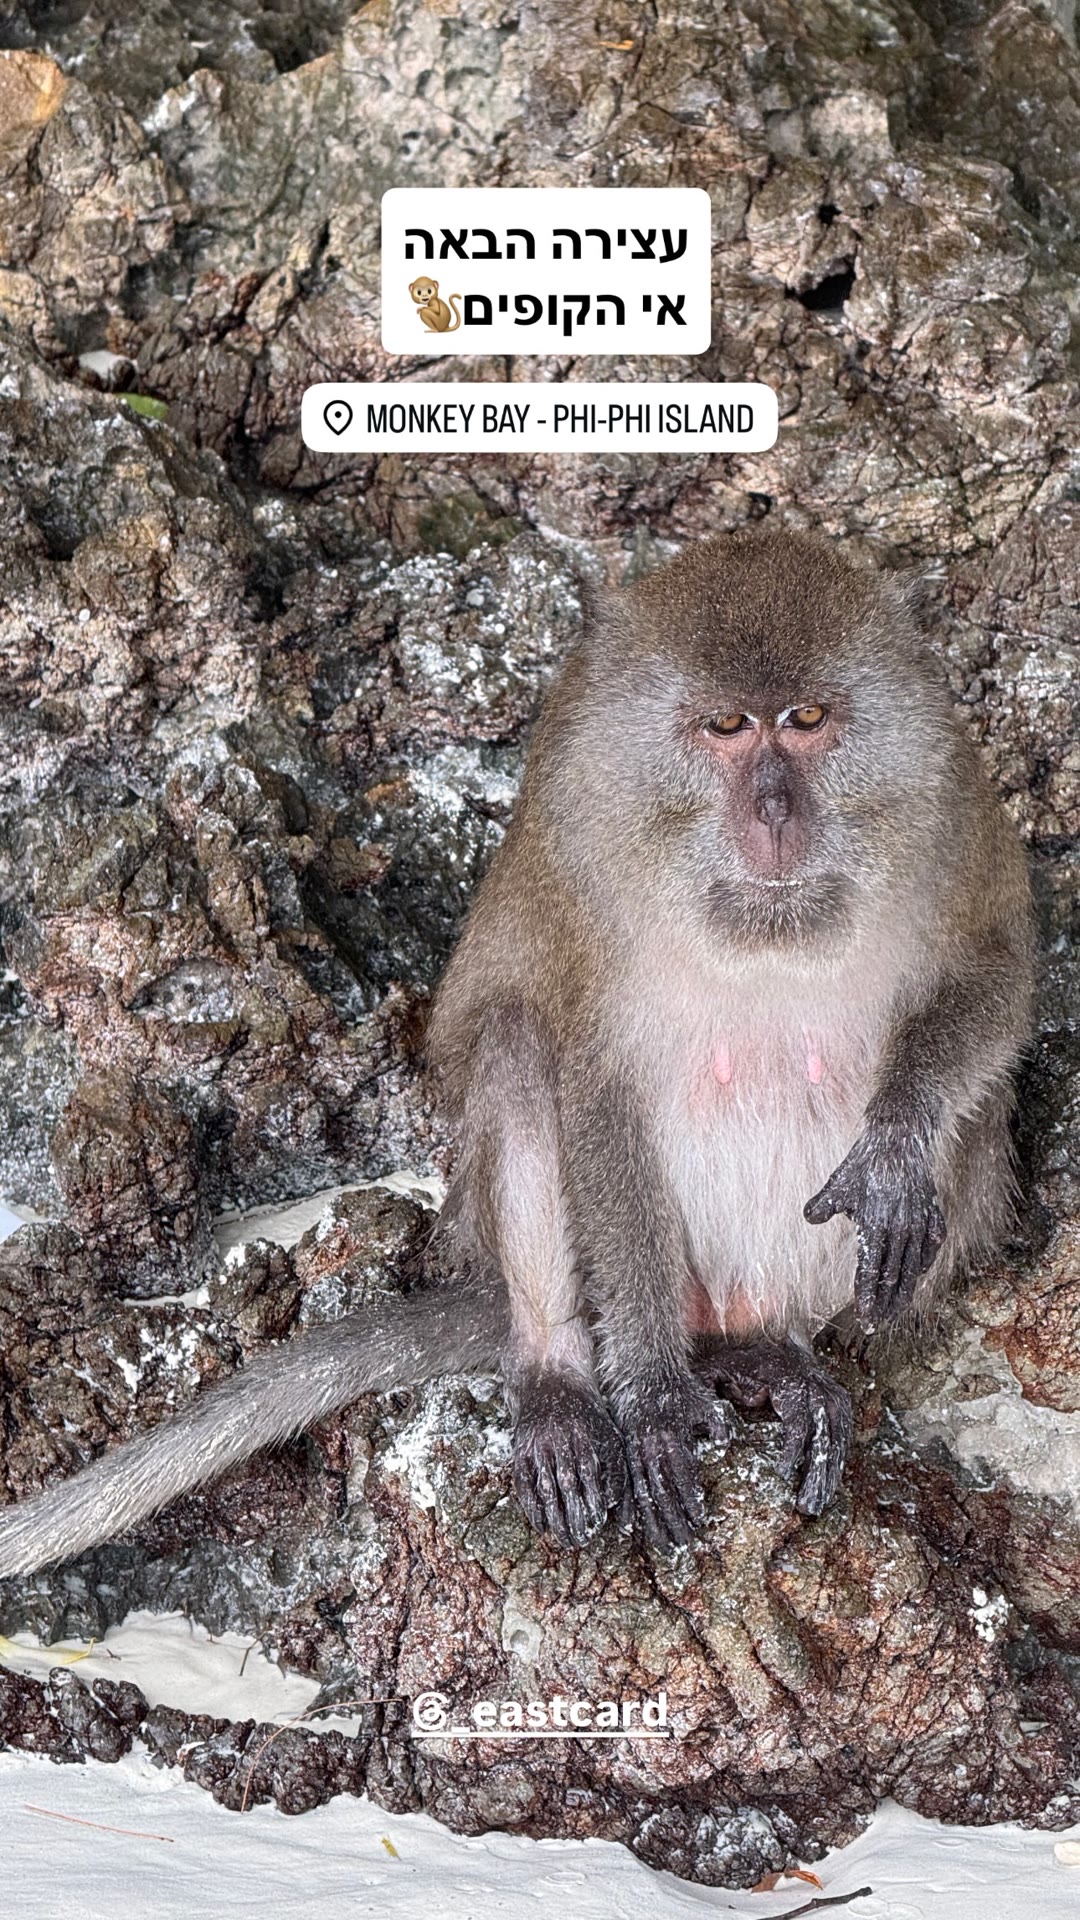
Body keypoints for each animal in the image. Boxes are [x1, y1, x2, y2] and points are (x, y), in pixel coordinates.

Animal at [0, 530, 1034, 1576]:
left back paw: (769, 1351)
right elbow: (594, 1081)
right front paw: (653, 1401)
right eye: (729, 727)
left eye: (810, 718)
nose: (777, 811)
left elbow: (995, 975)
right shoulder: (583, 856)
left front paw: (896, 1139)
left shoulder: (952, 806)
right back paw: (568, 1375)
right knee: (517, 1047)